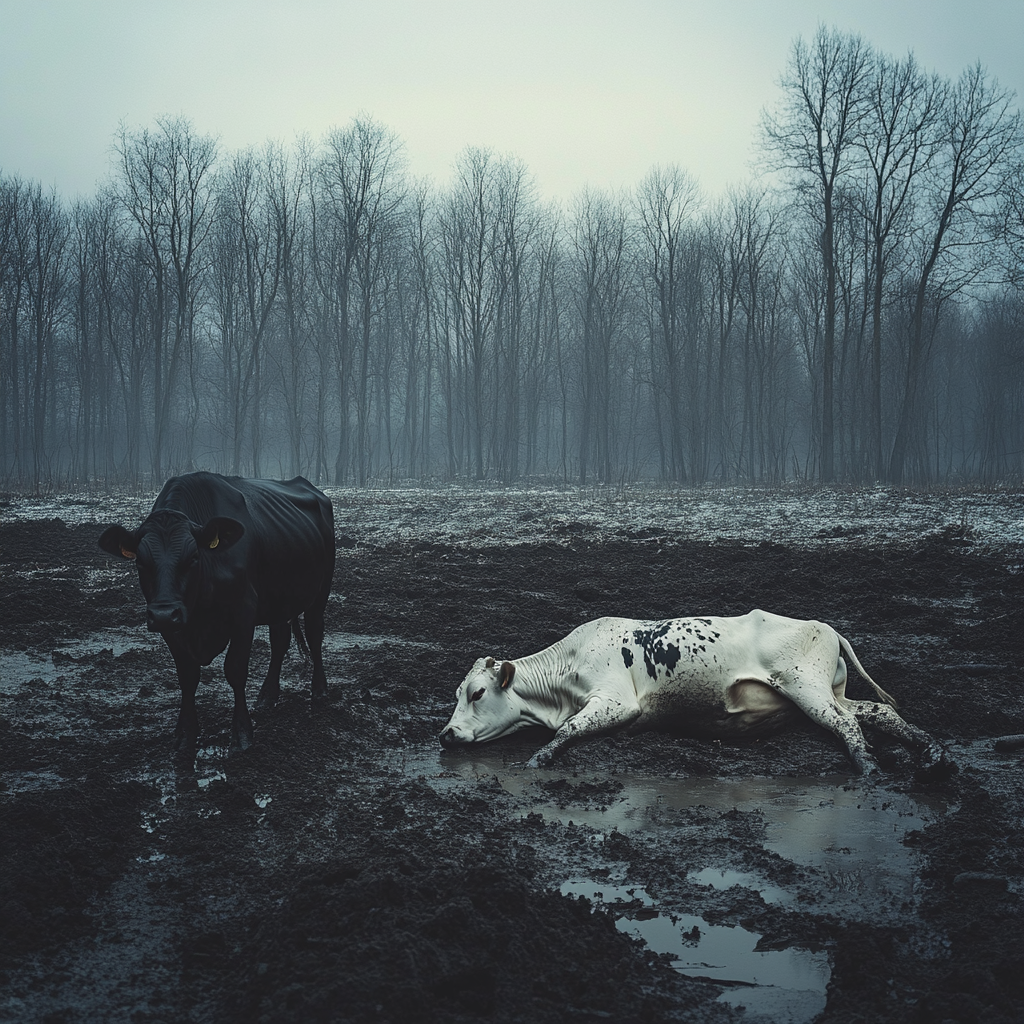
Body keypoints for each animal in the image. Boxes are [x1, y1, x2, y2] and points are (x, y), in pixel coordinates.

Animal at [99, 471, 333, 753]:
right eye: (141, 562)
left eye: (193, 557)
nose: (164, 614)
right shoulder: (174, 624)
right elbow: (187, 676)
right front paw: (185, 734)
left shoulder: (243, 613)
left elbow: (235, 670)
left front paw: (242, 733)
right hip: (280, 599)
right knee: (279, 642)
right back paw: (268, 695)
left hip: (321, 591)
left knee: (314, 634)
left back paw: (319, 690)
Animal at [438, 610, 942, 770]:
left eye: (477, 693)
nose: (445, 735)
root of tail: (827, 626)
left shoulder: (617, 701)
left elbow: (567, 732)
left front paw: (537, 760)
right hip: (829, 688)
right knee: (878, 712)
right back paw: (935, 756)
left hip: (807, 686)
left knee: (847, 723)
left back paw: (869, 767)